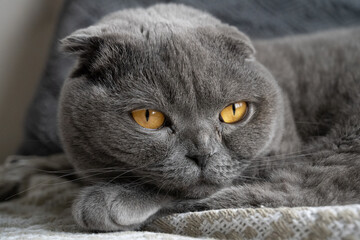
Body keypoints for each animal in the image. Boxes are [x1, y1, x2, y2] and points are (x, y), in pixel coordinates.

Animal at [0, 3, 360, 232]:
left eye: (233, 111)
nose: (203, 153)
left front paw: (112, 198)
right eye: (148, 117)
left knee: (293, 192)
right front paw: (15, 169)